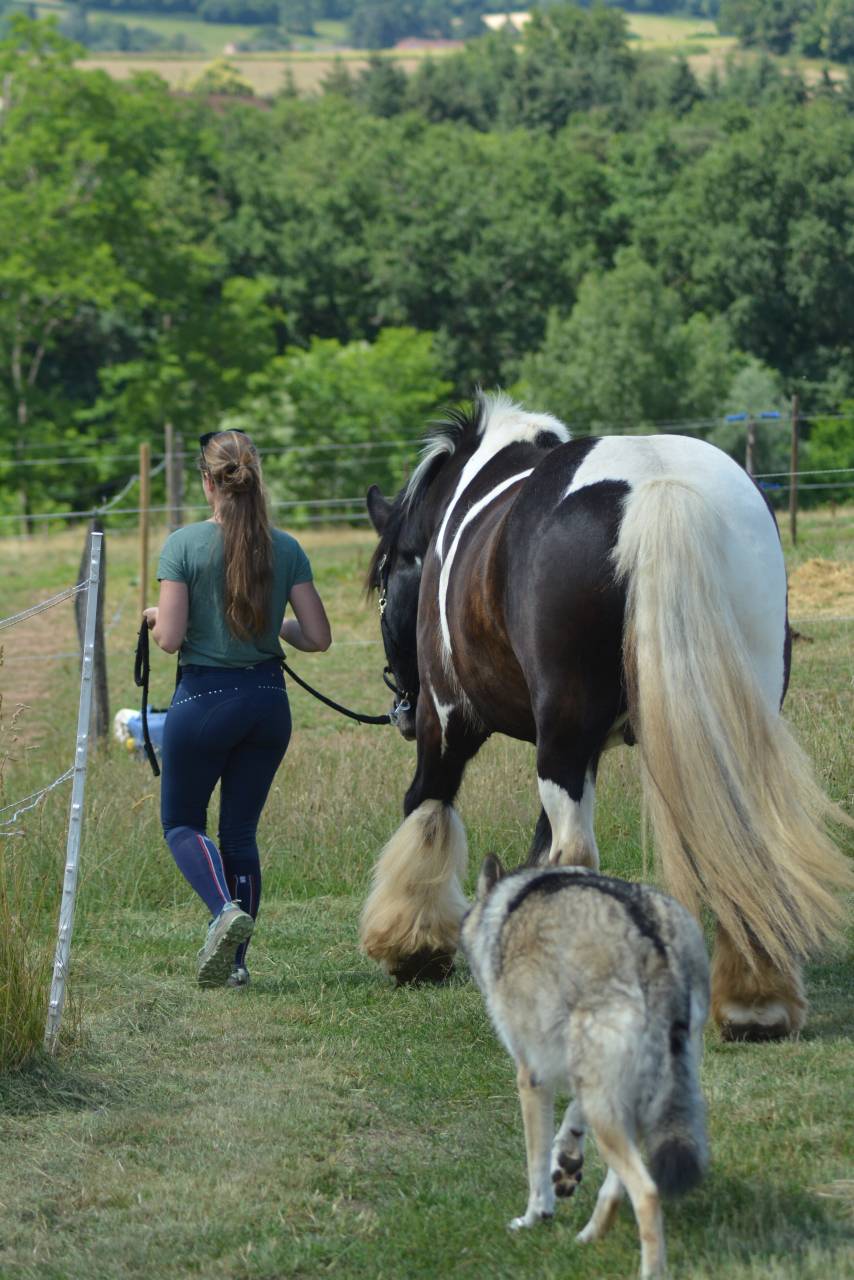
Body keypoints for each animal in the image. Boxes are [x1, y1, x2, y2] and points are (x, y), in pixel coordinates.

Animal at [360, 391, 851, 1041]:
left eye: (386, 577)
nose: (400, 709)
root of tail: (656, 483)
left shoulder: (450, 720)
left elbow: (428, 808)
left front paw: (411, 948)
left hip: (557, 732)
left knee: (574, 851)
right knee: (744, 840)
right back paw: (755, 1001)